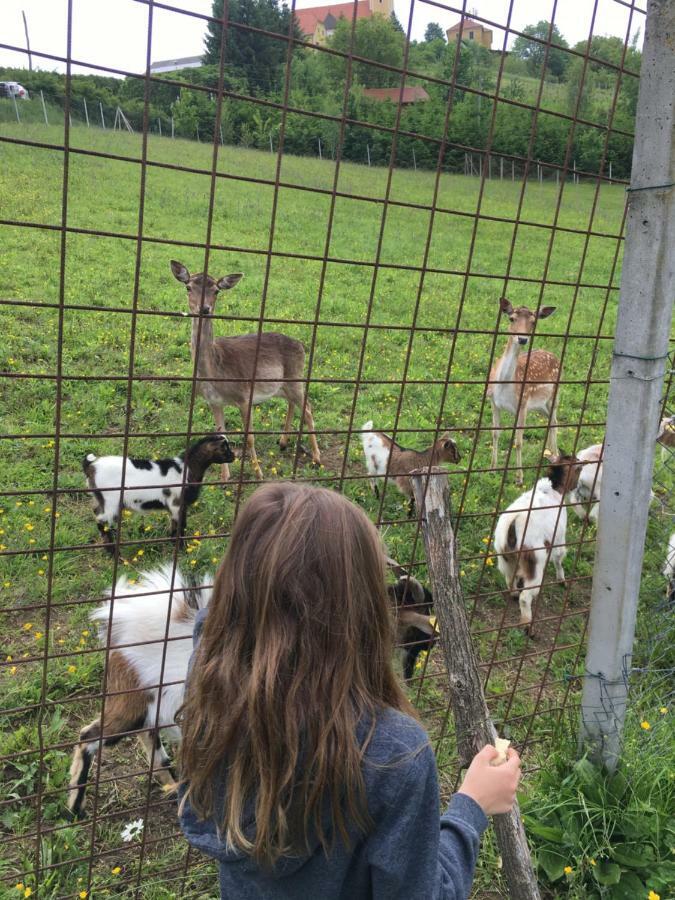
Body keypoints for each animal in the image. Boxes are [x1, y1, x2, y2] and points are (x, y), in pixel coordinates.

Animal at [83, 434, 235, 552]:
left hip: (101, 499)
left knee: (97, 513)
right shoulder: (176, 504)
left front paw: (174, 543)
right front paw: (182, 549)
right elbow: (181, 526)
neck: (186, 469)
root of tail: (91, 466)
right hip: (111, 501)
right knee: (101, 521)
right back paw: (113, 552)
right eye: (225, 448)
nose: (234, 456)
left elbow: (175, 525)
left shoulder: (178, 506)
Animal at [173, 260, 324, 482]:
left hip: (296, 376)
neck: (215, 373)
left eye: (216, 290)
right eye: (188, 287)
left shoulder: (244, 396)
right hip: (281, 385)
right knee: (292, 404)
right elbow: (222, 434)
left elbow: (250, 437)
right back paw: (283, 442)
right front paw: (224, 477)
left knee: (308, 409)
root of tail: (301, 345)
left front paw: (258, 473)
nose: (205, 308)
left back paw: (317, 457)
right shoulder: (213, 401)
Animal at [488, 298, 564, 486]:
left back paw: (555, 456)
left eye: (533, 322)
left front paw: (519, 478)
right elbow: (495, 433)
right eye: (511, 318)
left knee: (555, 421)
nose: (522, 339)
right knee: (551, 421)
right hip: (539, 405)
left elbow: (519, 441)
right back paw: (552, 454)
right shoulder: (493, 401)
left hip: (555, 395)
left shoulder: (522, 405)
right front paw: (492, 468)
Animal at [494, 450, 584, 632]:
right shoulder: (559, 537)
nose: (575, 487)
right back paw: (527, 626)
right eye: (578, 468)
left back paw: (514, 594)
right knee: (526, 596)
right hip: (534, 561)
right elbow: (559, 558)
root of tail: (513, 525)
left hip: (505, 558)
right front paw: (562, 580)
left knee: (509, 579)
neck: (554, 489)